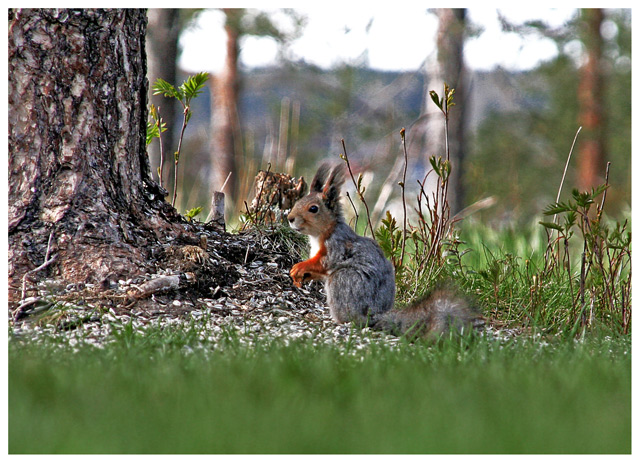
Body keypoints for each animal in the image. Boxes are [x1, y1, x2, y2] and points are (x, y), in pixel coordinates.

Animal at [288, 163, 482, 340]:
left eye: (313, 209)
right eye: (296, 202)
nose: (289, 218)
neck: (321, 233)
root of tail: (373, 314)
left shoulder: (337, 247)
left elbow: (324, 263)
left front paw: (299, 268)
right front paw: (302, 276)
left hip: (343, 280)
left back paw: (341, 320)